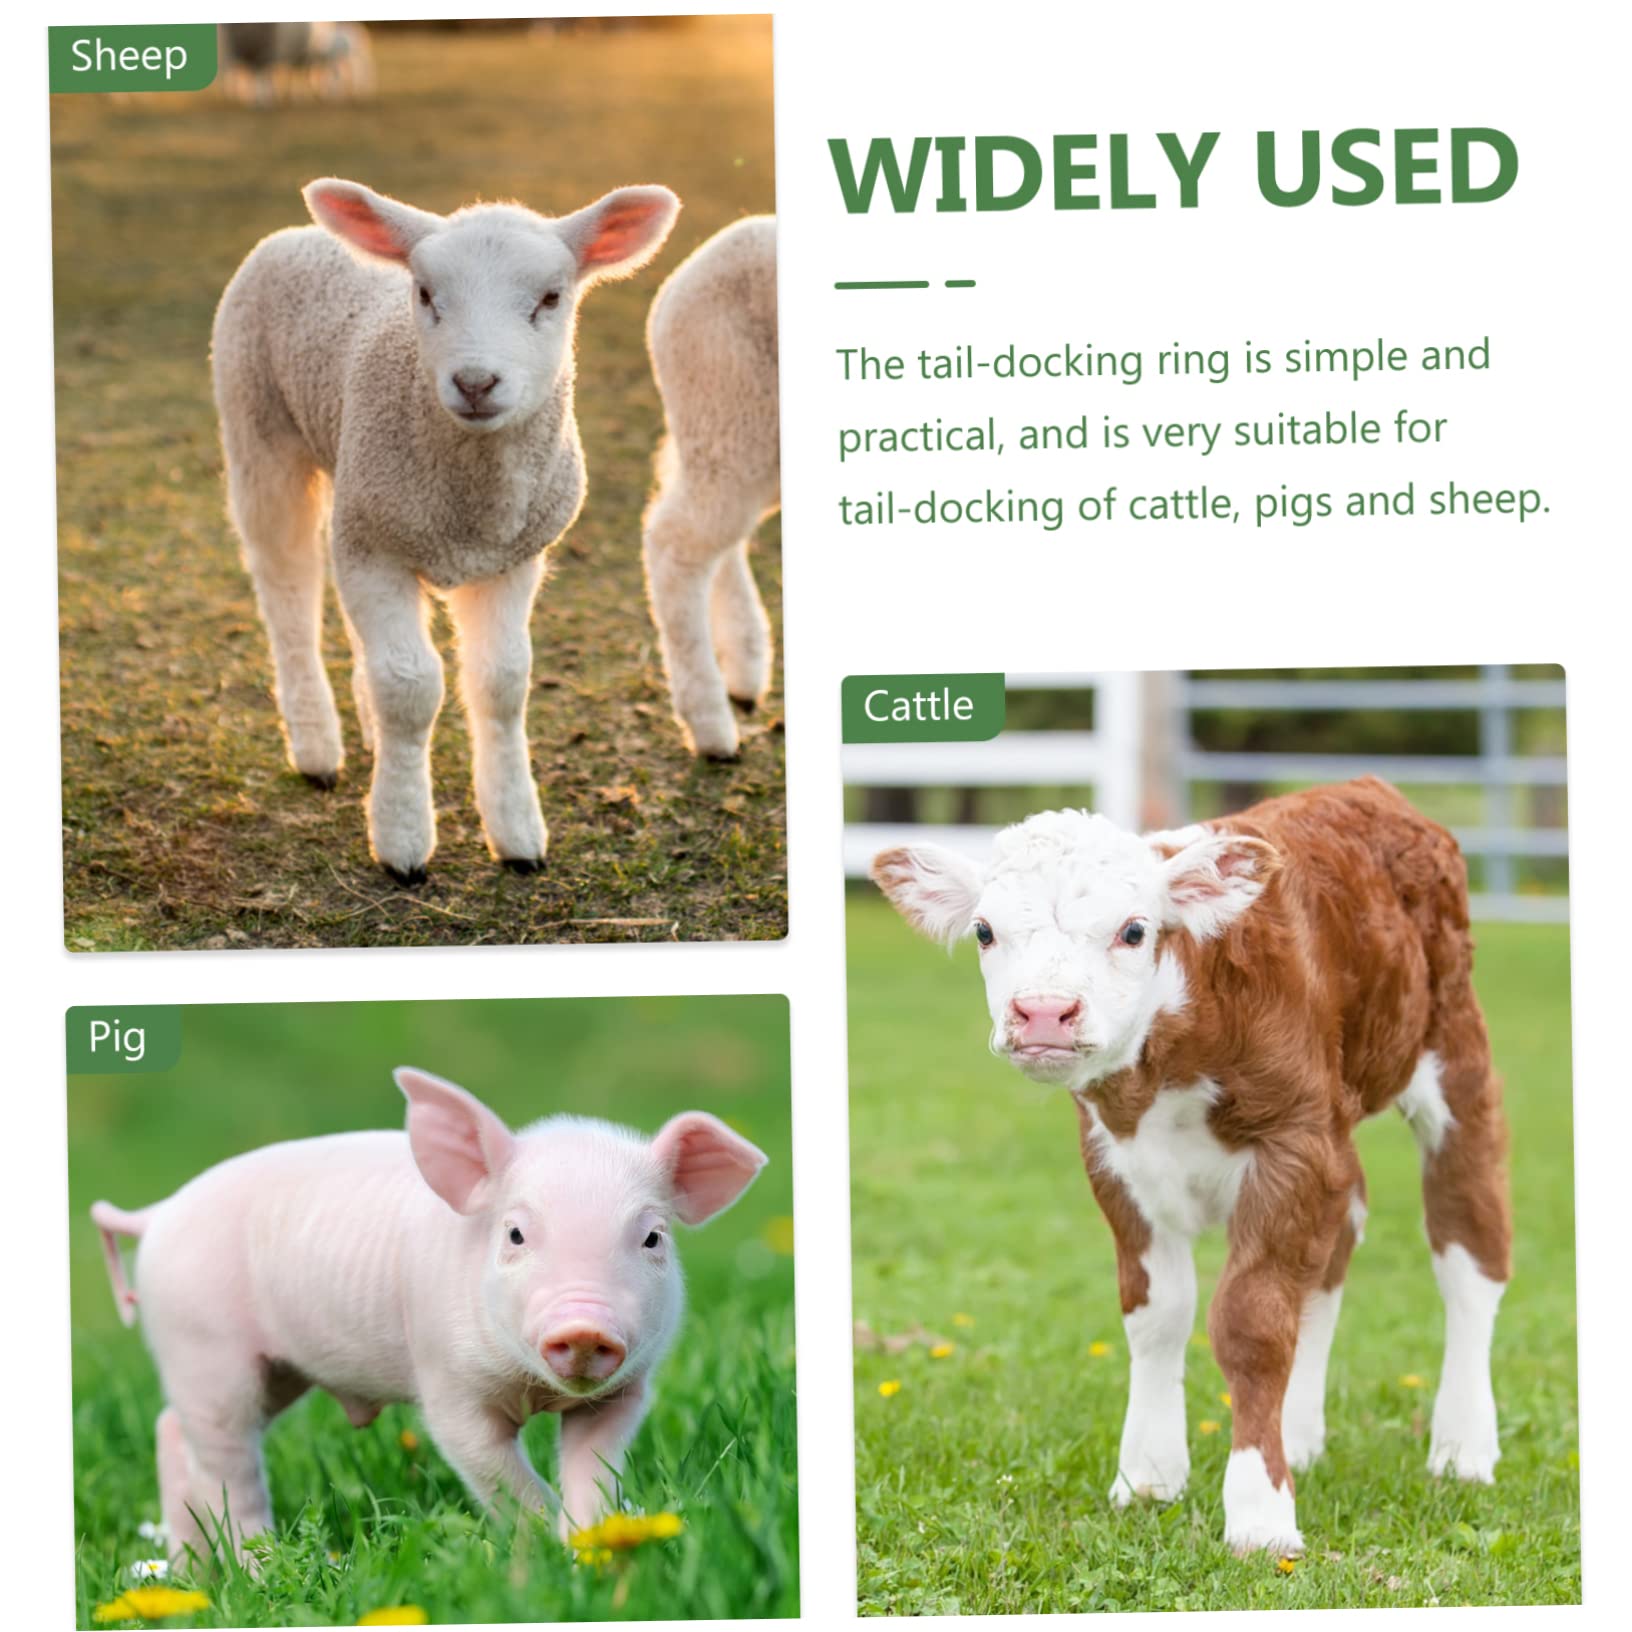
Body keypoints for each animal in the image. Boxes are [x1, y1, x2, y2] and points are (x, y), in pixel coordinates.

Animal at [211, 178, 680, 882]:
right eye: (426, 294)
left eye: (551, 297)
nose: (476, 382)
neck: (472, 506)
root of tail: (300, 232)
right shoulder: (377, 547)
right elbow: (410, 687)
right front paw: (403, 838)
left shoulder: (511, 556)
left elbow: (501, 682)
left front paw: (517, 834)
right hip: (259, 430)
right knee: (287, 591)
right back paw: (317, 746)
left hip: (354, 483)